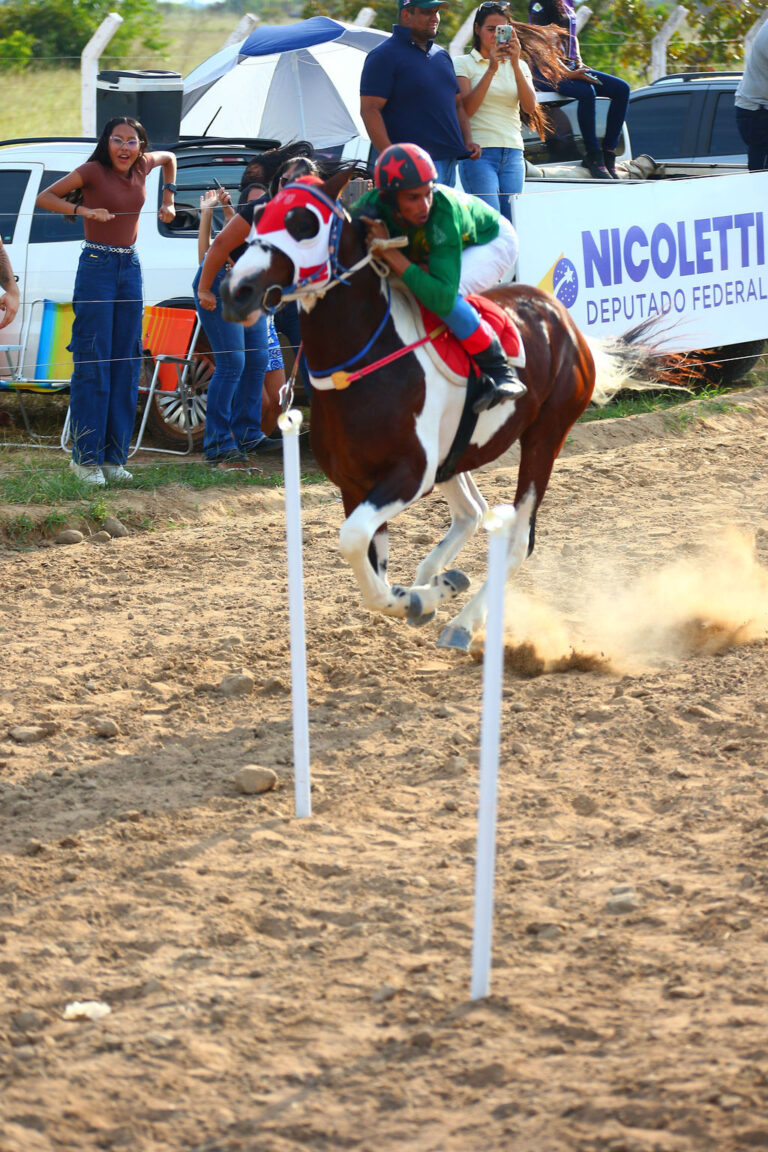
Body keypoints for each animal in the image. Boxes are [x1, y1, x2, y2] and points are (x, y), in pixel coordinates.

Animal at [220, 170, 636, 651]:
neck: (360, 364)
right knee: (471, 512)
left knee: (518, 538)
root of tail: (560, 315)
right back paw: (438, 583)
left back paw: (463, 623)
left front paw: (428, 595)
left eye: (304, 223)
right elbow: (370, 569)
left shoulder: (411, 473)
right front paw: (423, 595)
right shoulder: (355, 483)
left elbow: (352, 539)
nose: (235, 291)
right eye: (255, 216)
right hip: (455, 455)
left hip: (546, 434)